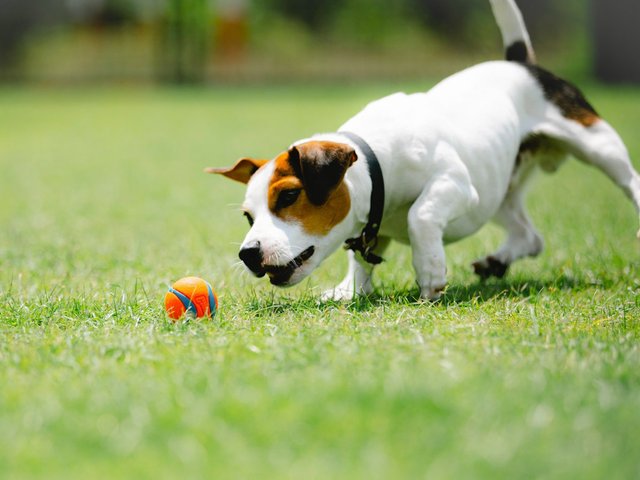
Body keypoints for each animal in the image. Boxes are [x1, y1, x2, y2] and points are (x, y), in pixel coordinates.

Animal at [209, 0, 640, 300]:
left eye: (289, 196)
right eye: (248, 216)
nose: (248, 254)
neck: (375, 163)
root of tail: (520, 63)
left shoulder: (456, 185)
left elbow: (421, 215)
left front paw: (430, 271)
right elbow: (359, 256)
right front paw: (351, 289)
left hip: (596, 144)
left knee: (629, 181)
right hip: (497, 190)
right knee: (529, 236)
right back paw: (498, 260)